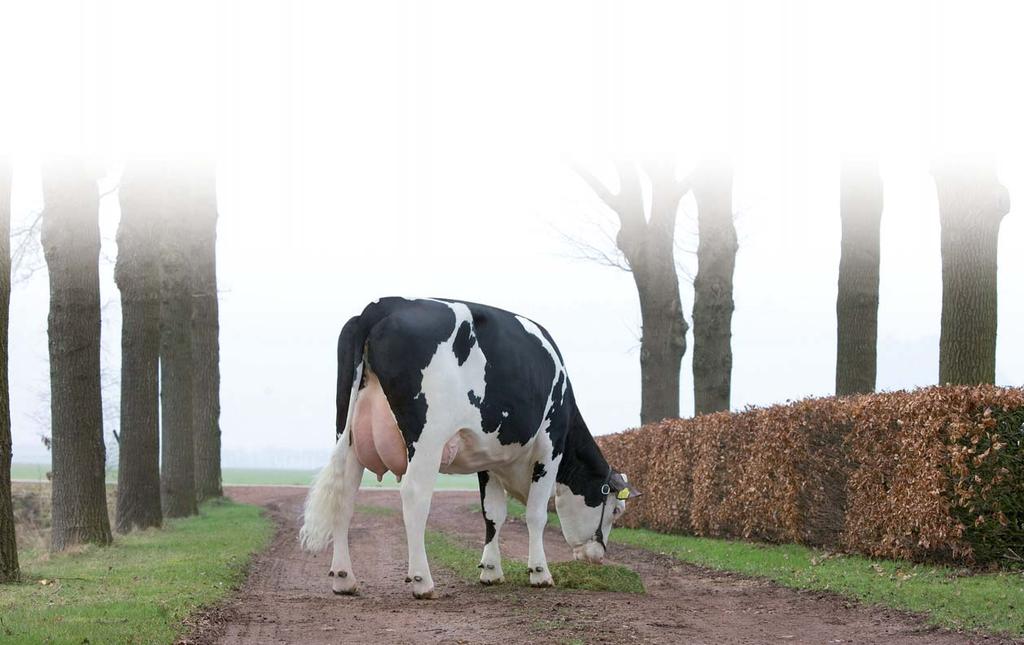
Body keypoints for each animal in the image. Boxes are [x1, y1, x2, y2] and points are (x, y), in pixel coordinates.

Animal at [299, 298, 638, 602]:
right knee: (414, 496)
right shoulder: (549, 445)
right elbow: (536, 514)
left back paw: (344, 578)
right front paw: (540, 573)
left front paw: (490, 570)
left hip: (348, 434)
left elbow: (493, 514)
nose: (598, 555)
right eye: (616, 511)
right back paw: (421, 581)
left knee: (344, 497)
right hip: (428, 437)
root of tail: (382, 305)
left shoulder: (490, 458)